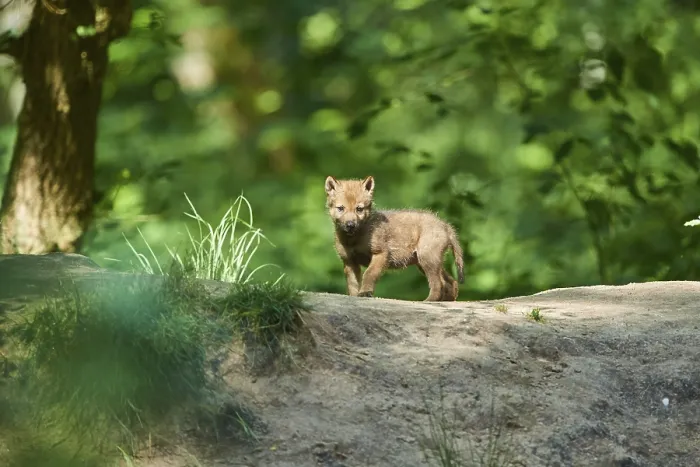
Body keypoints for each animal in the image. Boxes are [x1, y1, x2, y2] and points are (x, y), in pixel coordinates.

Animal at [324, 175, 465, 301]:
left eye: (359, 209)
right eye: (341, 208)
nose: (350, 225)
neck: (353, 239)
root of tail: (445, 225)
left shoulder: (380, 253)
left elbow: (369, 274)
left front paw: (365, 292)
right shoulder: (349, 261)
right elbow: (352, 284)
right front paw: (354, 297)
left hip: (427, 259)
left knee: (438, 284)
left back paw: (428, 301)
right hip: (427, 261)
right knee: (451, 282)